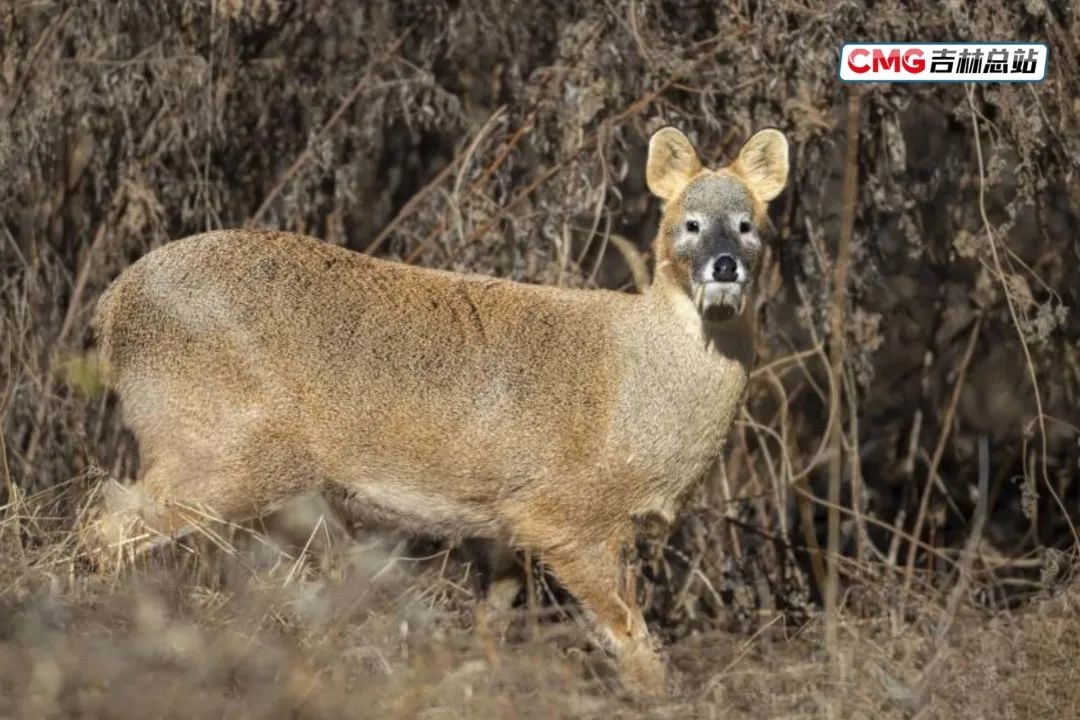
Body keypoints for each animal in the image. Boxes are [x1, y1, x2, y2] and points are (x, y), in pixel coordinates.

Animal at [88, 126, 790, 695]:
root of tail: (113, 304)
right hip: (222, 451)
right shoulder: (569, 515)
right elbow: (631, 637)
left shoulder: (506, 524)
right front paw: (659, 699)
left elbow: (491, 624)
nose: (725, 264)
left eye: (749, 223)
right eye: (689, 223)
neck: (642, 384)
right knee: (105, 526)